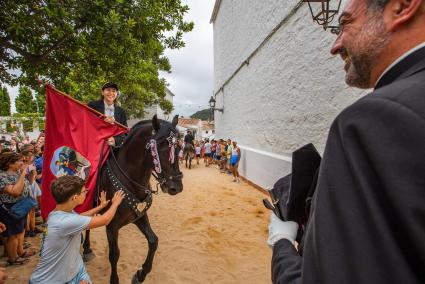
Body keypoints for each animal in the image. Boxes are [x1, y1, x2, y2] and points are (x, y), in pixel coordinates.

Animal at [83, 115, 182, 284]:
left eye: (179, 148)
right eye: (161, 148)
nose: (176, 186)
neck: (130, 178)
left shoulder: (139, 216)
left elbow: (153, 241)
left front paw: (140, 274)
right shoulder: (112, 225)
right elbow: (114, 254)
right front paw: (115, 279)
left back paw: (87, 248)